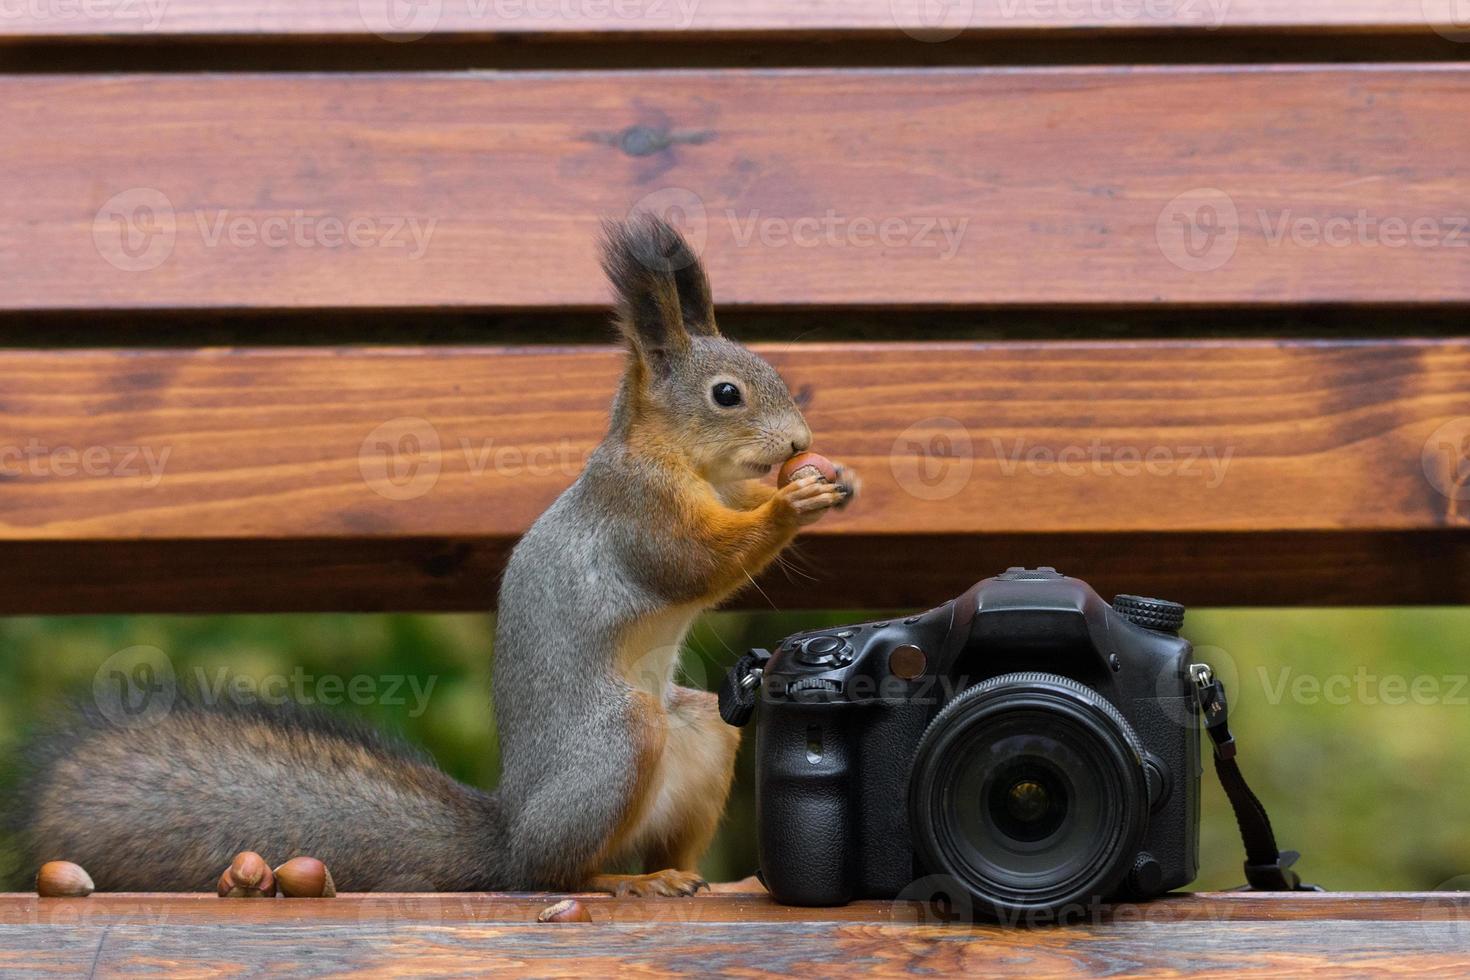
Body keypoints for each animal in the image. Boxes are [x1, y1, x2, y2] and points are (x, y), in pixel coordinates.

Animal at [17, 214, 858, 899]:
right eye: (726, 394)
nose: (800, 443)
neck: (681, 461)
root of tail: (511, 837)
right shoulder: (636, 514)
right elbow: (695, 564)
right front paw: (791, 504)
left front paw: (824, 480)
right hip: (620, 743)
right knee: (558, 873)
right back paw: (620, 883)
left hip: (704, 734)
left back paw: (712, 878)